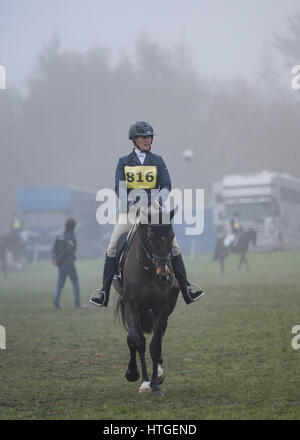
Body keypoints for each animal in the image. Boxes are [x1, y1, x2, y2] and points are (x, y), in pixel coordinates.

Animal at [112, 208, 178, 398]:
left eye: (171, 235)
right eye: (151, 237)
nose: (164, 275)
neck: (148, 268)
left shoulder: (161, 307)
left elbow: (155, 345)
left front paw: (155, 385)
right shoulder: (130, 305)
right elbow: (136, 340)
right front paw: (138, 376)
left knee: (160, 334)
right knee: (136, 338)